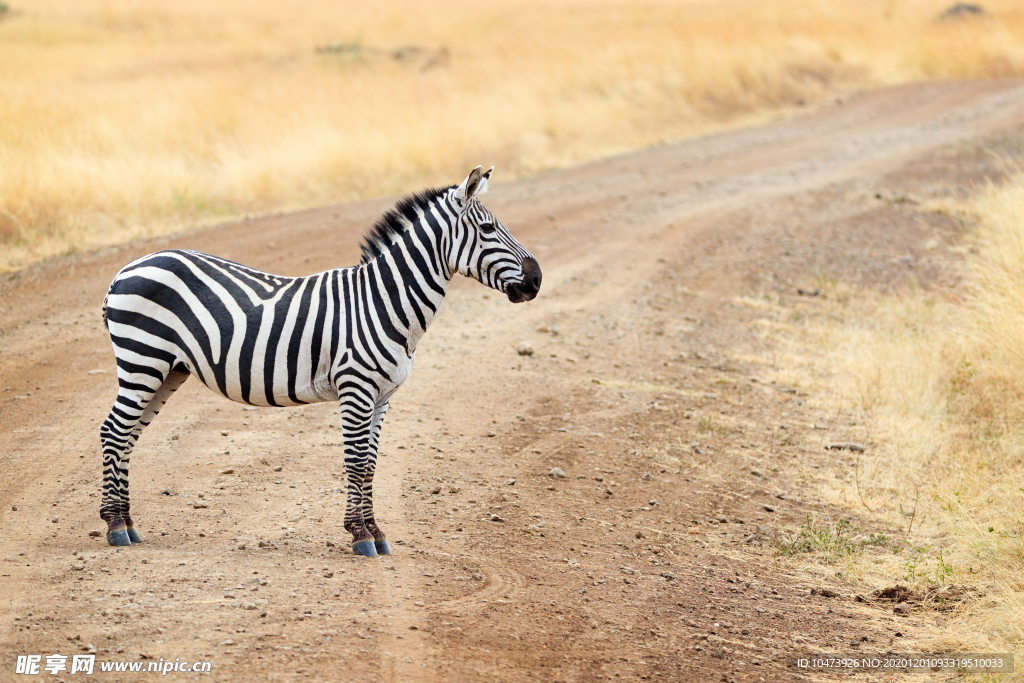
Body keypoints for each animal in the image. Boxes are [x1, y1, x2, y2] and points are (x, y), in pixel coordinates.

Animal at [98, 167, 540, 557]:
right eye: (488, 230)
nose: (536, 281)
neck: (383, 302)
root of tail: (127, 269)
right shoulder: (356, 389)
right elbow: (356, 463)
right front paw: (361, 535)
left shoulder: (383, 397)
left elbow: (371, 465)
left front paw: (375, 531)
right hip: (142, 358)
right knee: (113, 432)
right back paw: (115, 526)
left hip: (167, 369)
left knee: (127, 436)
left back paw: (128, 523)